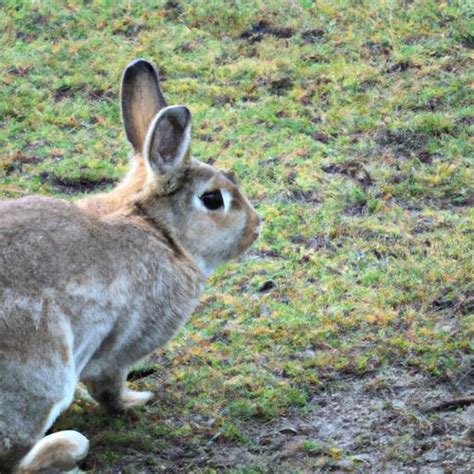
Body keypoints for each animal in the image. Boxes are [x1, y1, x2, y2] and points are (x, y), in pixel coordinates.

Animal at [0, 58, 262, 470]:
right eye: (213, 199)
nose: (255, 227)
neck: (160, 230)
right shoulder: (121, 346)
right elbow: (109, 387)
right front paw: (137, 400)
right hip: (43, 376)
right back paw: (67, 449)